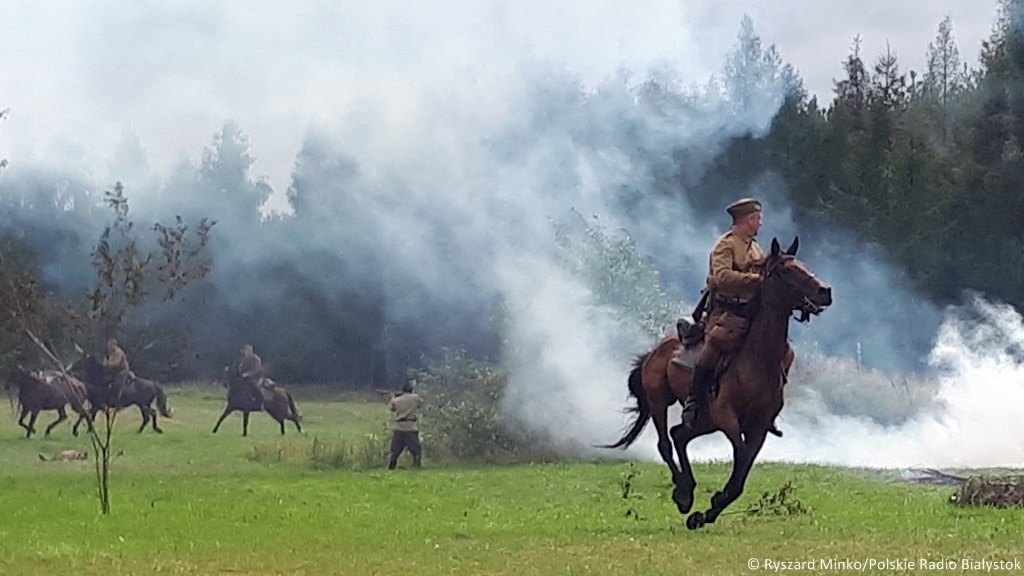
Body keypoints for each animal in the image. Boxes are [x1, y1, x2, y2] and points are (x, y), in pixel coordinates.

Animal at [605, 238, 832, 529]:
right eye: (786, 270)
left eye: (804, 265)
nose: (825, 291)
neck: (757, 360)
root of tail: (656, 350)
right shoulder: (728, 419)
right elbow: (741, 458)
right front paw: (709, 505)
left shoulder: (758, 427)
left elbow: (742, 471)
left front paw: (706, 513)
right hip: (661, 402)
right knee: (665, 443)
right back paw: (683, 493)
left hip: (704, 420)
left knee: (679, 435)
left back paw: (689, 491)